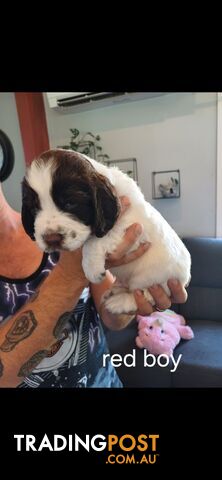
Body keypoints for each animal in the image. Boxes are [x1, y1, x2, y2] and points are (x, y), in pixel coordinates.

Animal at [22, 148, 191, 316]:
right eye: (35, 208)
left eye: (70, 203)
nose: (51, 239)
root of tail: (185, 278)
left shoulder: (128, 224)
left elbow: (94, 241)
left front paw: (92, 269)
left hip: (153, 279)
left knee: (144, 294)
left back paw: (119, 302)